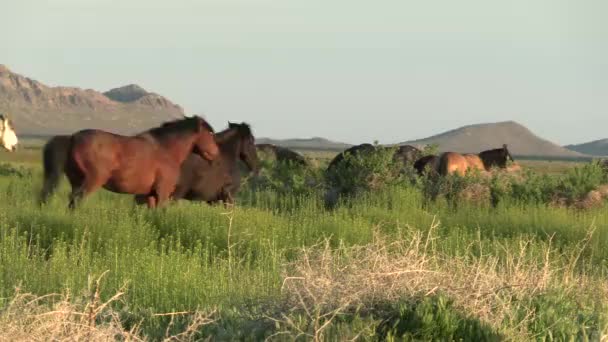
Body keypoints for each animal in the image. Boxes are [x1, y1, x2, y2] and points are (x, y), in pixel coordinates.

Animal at [38, 116, 218, 210]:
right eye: (209, 133)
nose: (216, 153)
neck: (166, 149)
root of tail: (72, 137)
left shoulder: (149, 194)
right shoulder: (162, 192)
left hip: (76, 180)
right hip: (92, 180)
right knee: (77, 200)